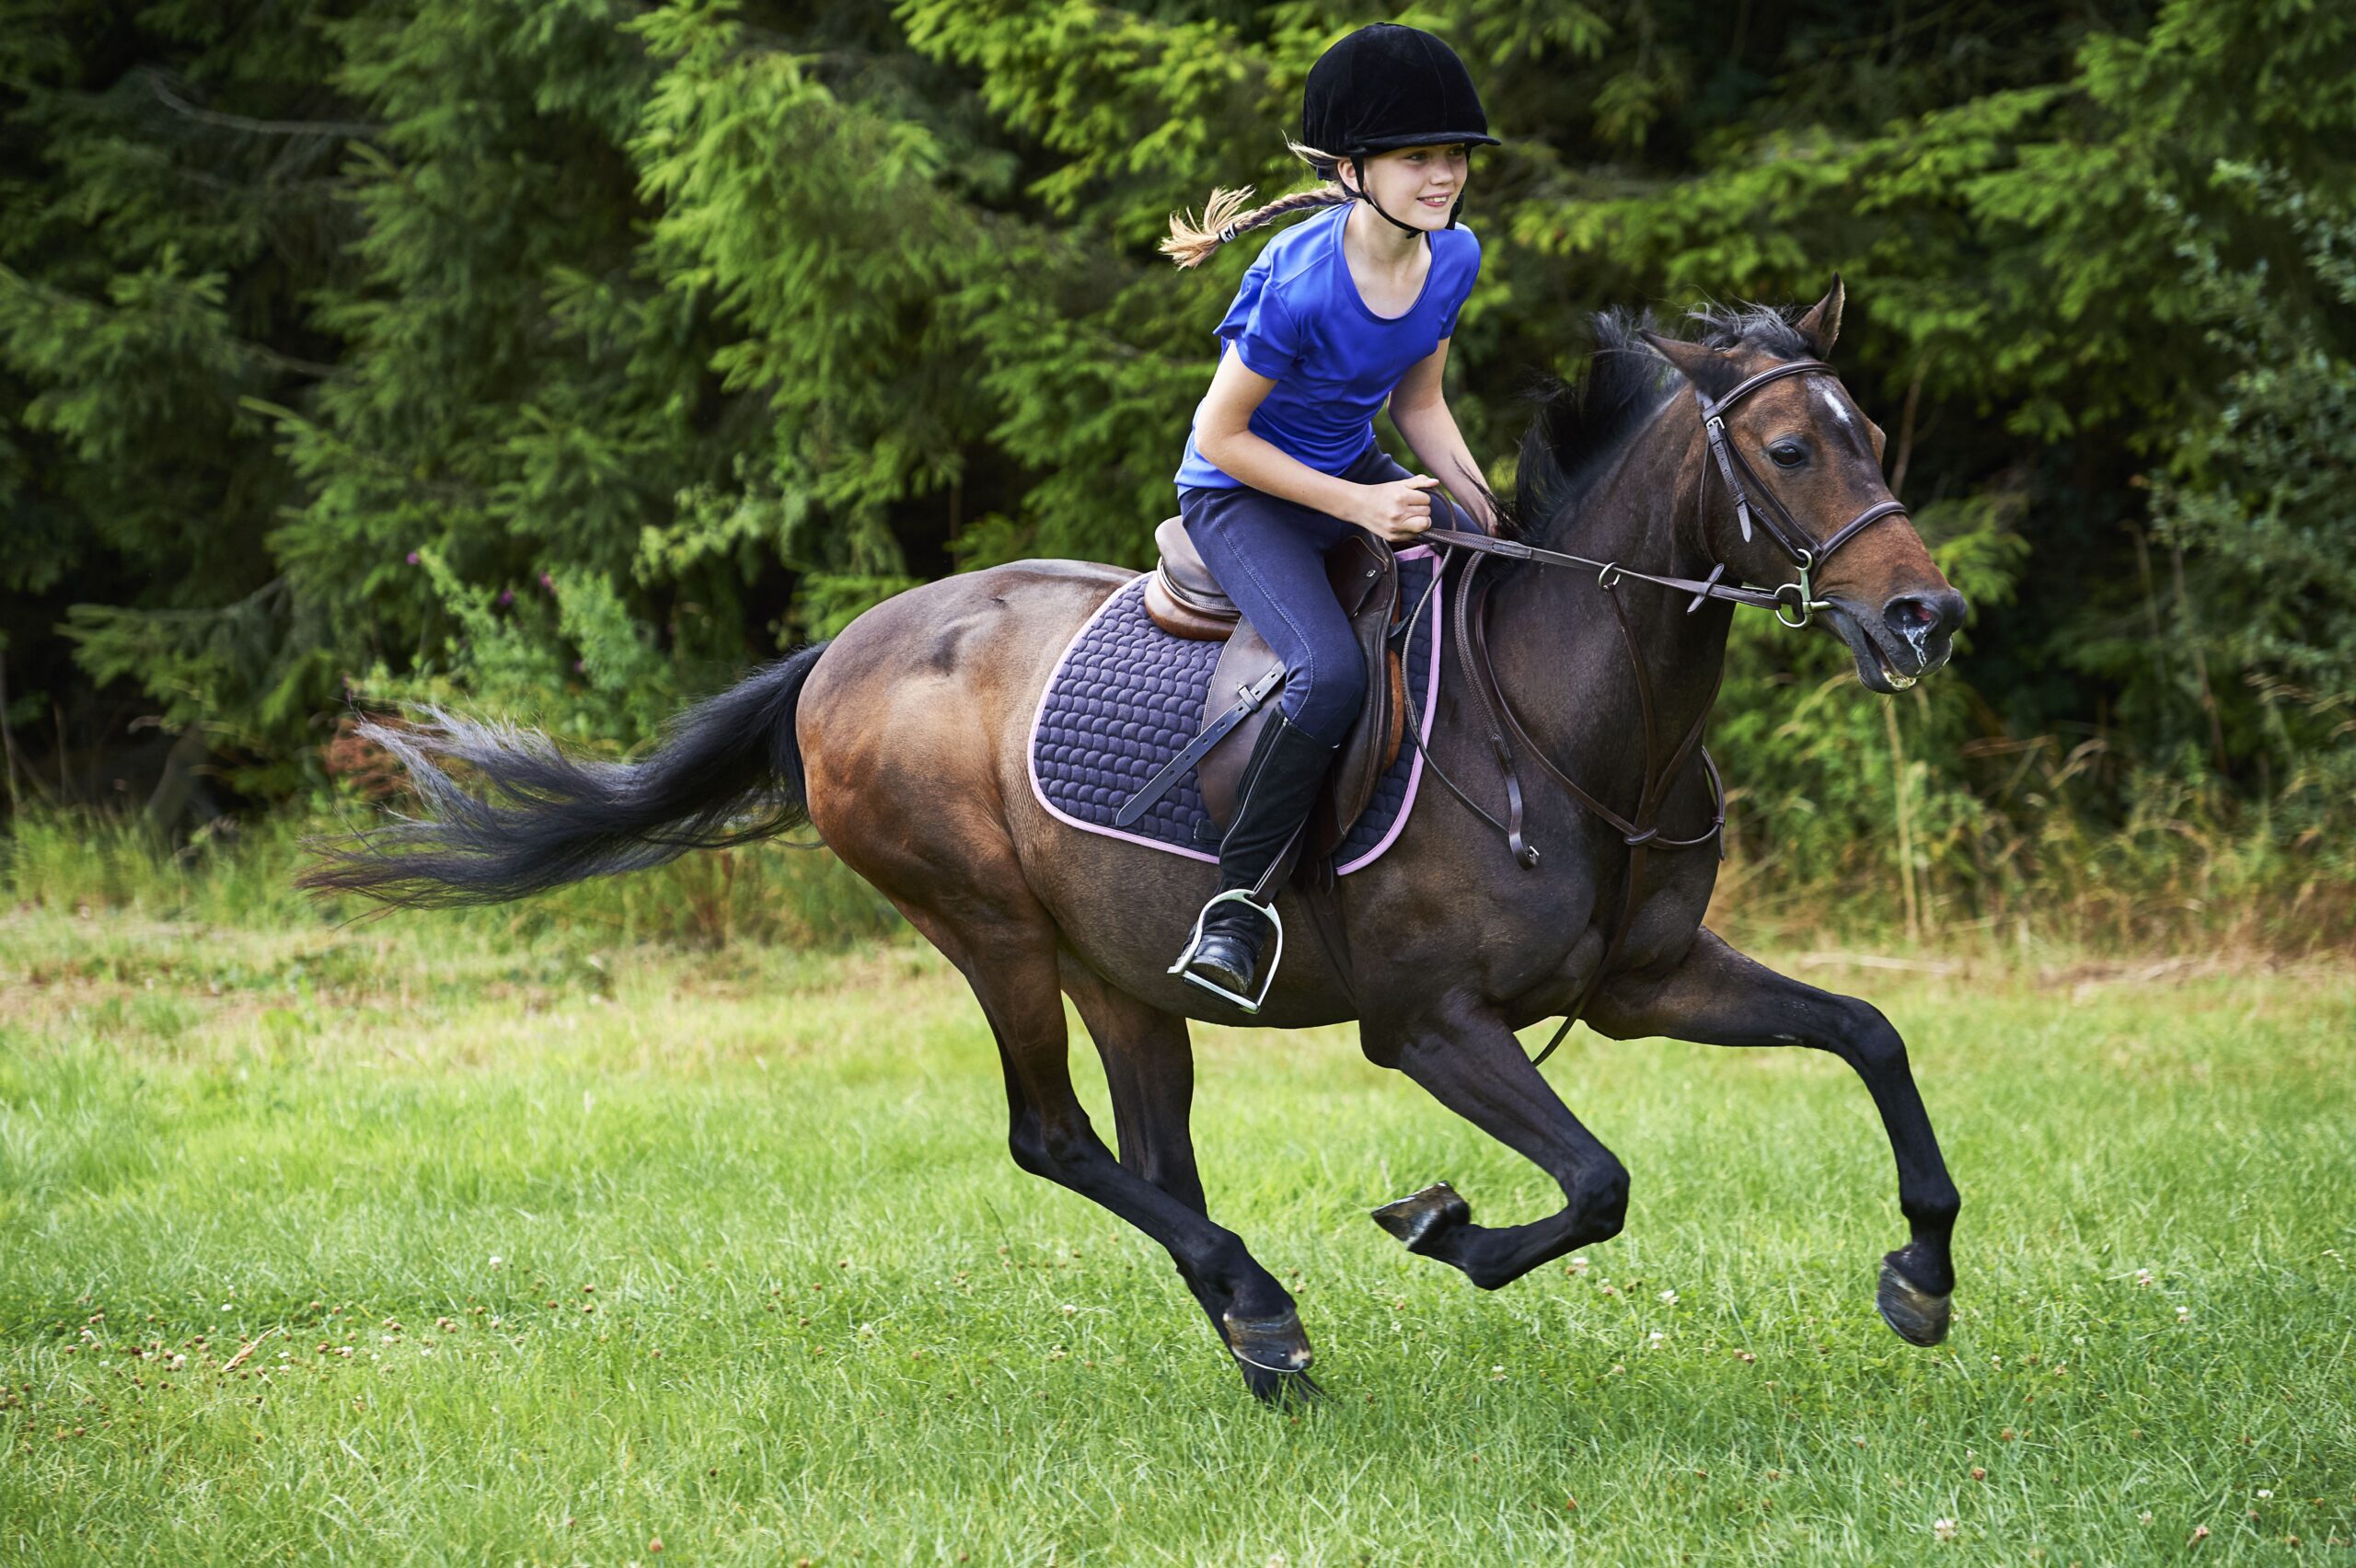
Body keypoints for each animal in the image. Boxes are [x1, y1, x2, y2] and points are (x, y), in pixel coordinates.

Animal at [308, 277, 1969, 1393]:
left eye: (1878, 431)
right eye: (1790, 452)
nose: (1927, 615)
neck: (1573, 717)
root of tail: (846, 648)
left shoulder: (1645, 979)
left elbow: (1871, 1034)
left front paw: (1923, 1272)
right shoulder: (1429, 1023)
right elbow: (1600, 1181)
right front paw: (1444, 1227)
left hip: (1122, 966)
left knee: (1151, 1149)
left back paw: (1257, 1328)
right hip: (990, 930)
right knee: (1054, 1138)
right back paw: (1261, 1302)